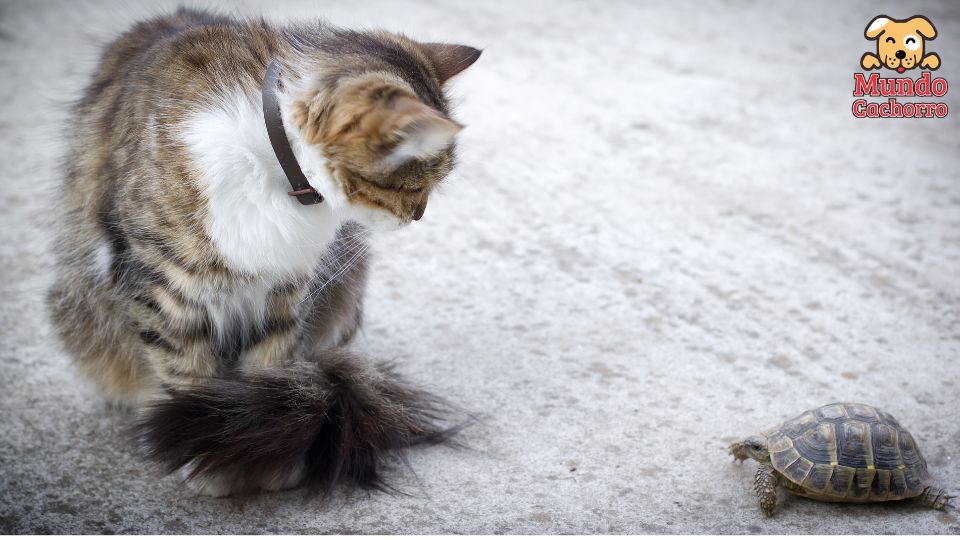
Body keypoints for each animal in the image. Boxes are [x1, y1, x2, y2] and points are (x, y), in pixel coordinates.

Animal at [46, 8, 480, 498]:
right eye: (416, 186)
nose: (419, 216)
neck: (277, 172)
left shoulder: (287, 288)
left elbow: (271, 370)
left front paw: (258, 449)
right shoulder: (163, 288)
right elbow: (187, 375)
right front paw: (203, 452)